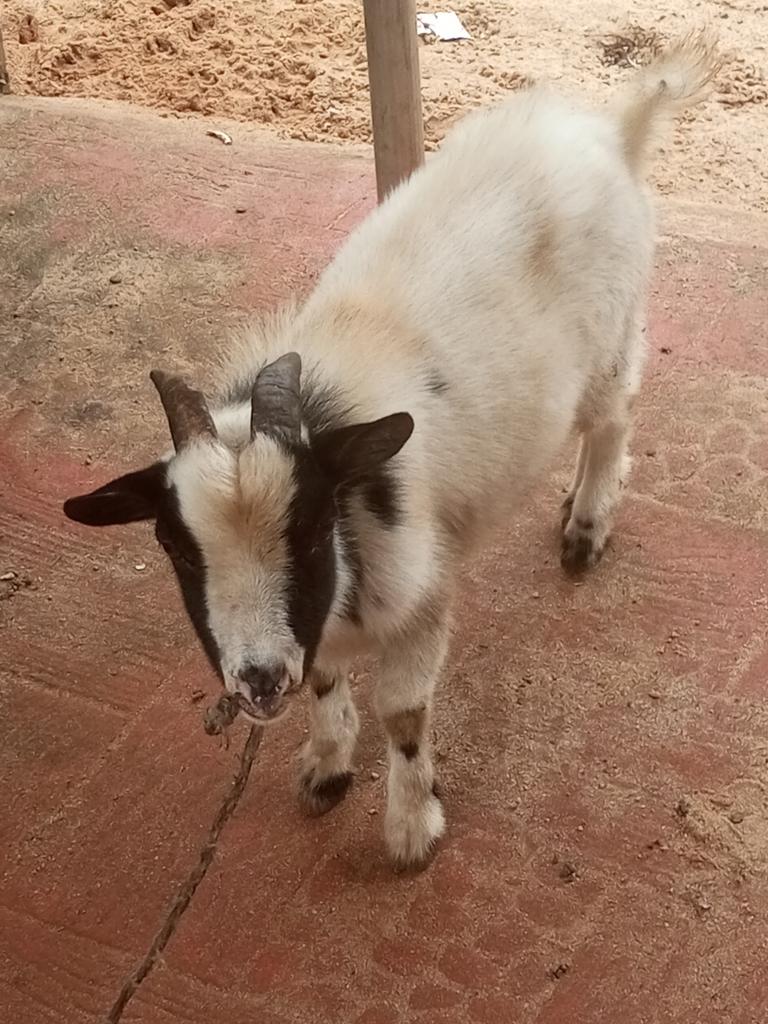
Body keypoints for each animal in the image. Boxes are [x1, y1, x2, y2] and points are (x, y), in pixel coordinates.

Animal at [64, 35, 717, 868]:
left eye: (314, 528)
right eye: (175, 548)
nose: (258, 681)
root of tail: (614, 131)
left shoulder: (418, 600)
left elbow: (404, 714)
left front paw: (410, 829)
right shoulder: (318, 632)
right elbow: (325, 683)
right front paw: (325, 767)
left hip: (611, 337)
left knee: (614, 420)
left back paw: (587, 525)